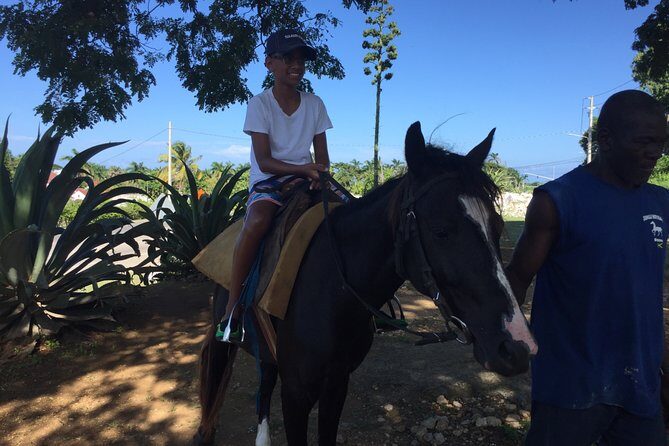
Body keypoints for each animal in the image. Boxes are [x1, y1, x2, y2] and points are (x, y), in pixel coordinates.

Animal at [193, 122, 537, 445]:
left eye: (497, 227)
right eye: (441, 231)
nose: (517, 347)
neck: (333, 292)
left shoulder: (337, 384)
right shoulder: (296, 394)